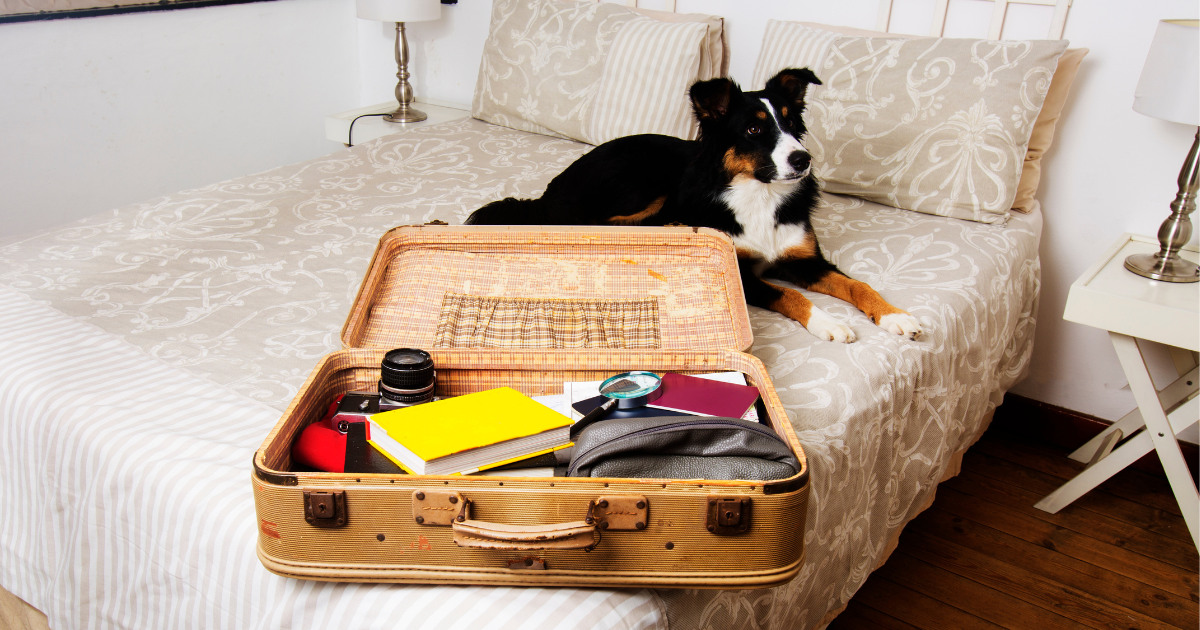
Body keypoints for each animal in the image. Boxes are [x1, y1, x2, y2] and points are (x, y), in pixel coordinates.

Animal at [463, 68, 921, 343]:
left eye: (792, 123)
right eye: (754, 129)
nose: (802, 159)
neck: (757, 195)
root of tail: (550, 190)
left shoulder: (804, 258)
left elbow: (857, 285)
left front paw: (894, 316)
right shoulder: (741, 273)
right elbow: (790, 295)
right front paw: (829, 322)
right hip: (643, 188)